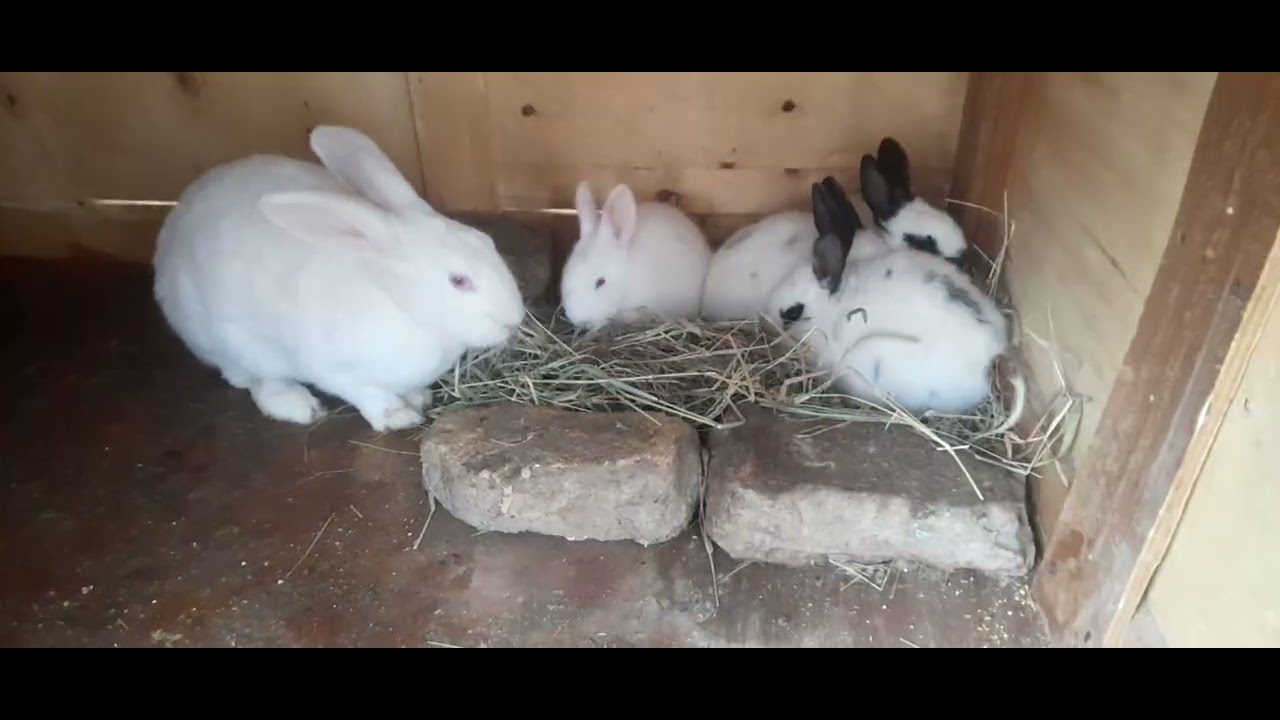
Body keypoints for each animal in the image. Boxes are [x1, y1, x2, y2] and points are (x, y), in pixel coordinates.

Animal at [152, 124, 527, 433]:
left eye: (488, 242)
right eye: (458, 281)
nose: (513, 320)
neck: (397, 301)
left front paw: (417, 398)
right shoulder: (337, 371)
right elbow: (369, 395)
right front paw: (399, 416)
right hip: (236, 345)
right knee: (254, 380)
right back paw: (298, 406)